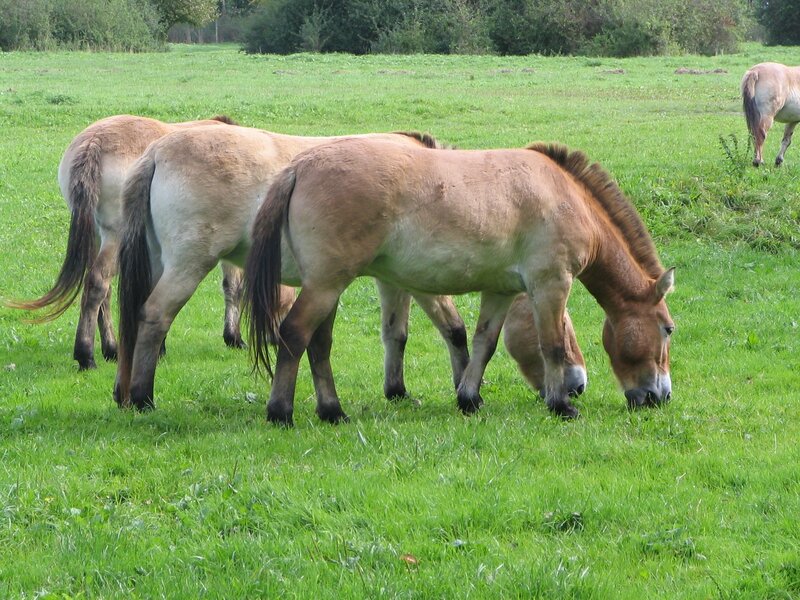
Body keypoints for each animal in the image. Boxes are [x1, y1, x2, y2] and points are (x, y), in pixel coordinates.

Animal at [4, 114, 240, 370]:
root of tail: (94, 142)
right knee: (98, 283)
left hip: (97, 237)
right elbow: (232, 286)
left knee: (101, 290)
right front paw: (233, 337)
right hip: (117, 238)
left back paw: (111, 349)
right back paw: (86, 355)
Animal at [112, 123, 587, 412]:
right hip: (189, 263)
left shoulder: (391, 278)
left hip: (158, 261)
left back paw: (124, 393)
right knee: (155, 315)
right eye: (565, 325)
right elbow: (453, 329)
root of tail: (157, 151)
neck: (441, 179)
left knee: (134, 317)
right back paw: (142, 397)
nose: (578, 384)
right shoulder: (421, 279)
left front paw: (400, 390)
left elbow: (397, 333)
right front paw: (464, 386)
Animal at [243, 137, 675, 426]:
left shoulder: (500, 291)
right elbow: (551, 345)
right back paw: (281, 412)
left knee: (319, 344)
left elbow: (484, 344)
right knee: (295, 334)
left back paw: (332, 411)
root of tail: (300, 167)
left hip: (328, 287)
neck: (563, 196)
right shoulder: (551, 284)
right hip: (326, 285)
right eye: (668, 329)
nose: (661, 396)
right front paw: (561, 405)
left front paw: (469, 398)